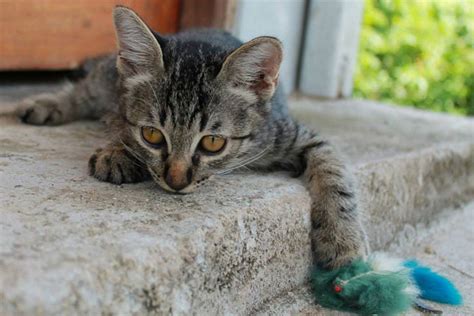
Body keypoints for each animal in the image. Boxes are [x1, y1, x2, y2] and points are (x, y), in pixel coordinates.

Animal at [15, 6, 366, 270]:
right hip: (107, 78)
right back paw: (44, 104)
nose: (176, 180)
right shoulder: (120, 102)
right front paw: (117, 151)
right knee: (83, 90)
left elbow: (335, 176)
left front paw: (343, 240)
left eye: (213, 142)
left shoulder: (294, 134)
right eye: (153, 135)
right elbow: (119, 123)